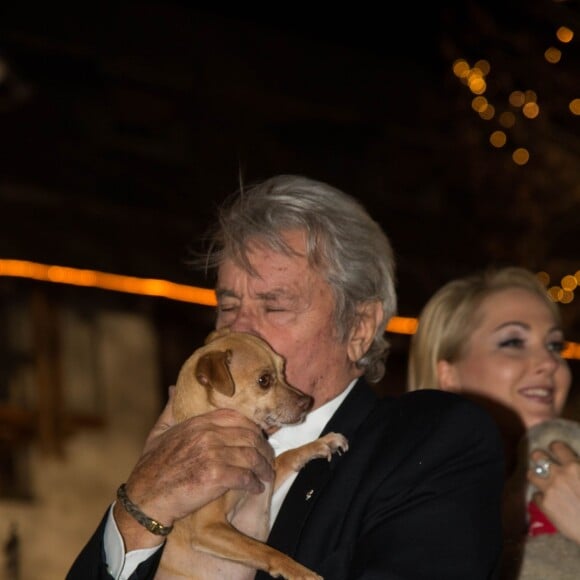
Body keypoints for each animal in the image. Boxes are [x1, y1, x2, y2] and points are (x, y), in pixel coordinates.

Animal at [155, 328, 348, 576]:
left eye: (284, 369)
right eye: (264, 381)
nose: (307, 402)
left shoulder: (264, 480)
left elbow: (287, 456)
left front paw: (321, 444)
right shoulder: (209, 528)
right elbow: (268, 551)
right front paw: (301, 572)